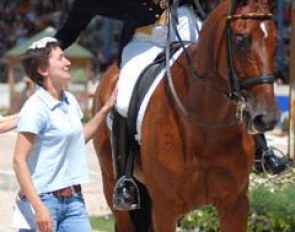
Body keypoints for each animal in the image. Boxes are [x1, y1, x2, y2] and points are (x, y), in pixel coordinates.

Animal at [92, 0, 280, 231]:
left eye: (275, 39)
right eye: (240, 39)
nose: (267, 117)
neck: (206, 127)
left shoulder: (236, 204)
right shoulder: (165, 208)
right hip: (115, 191)